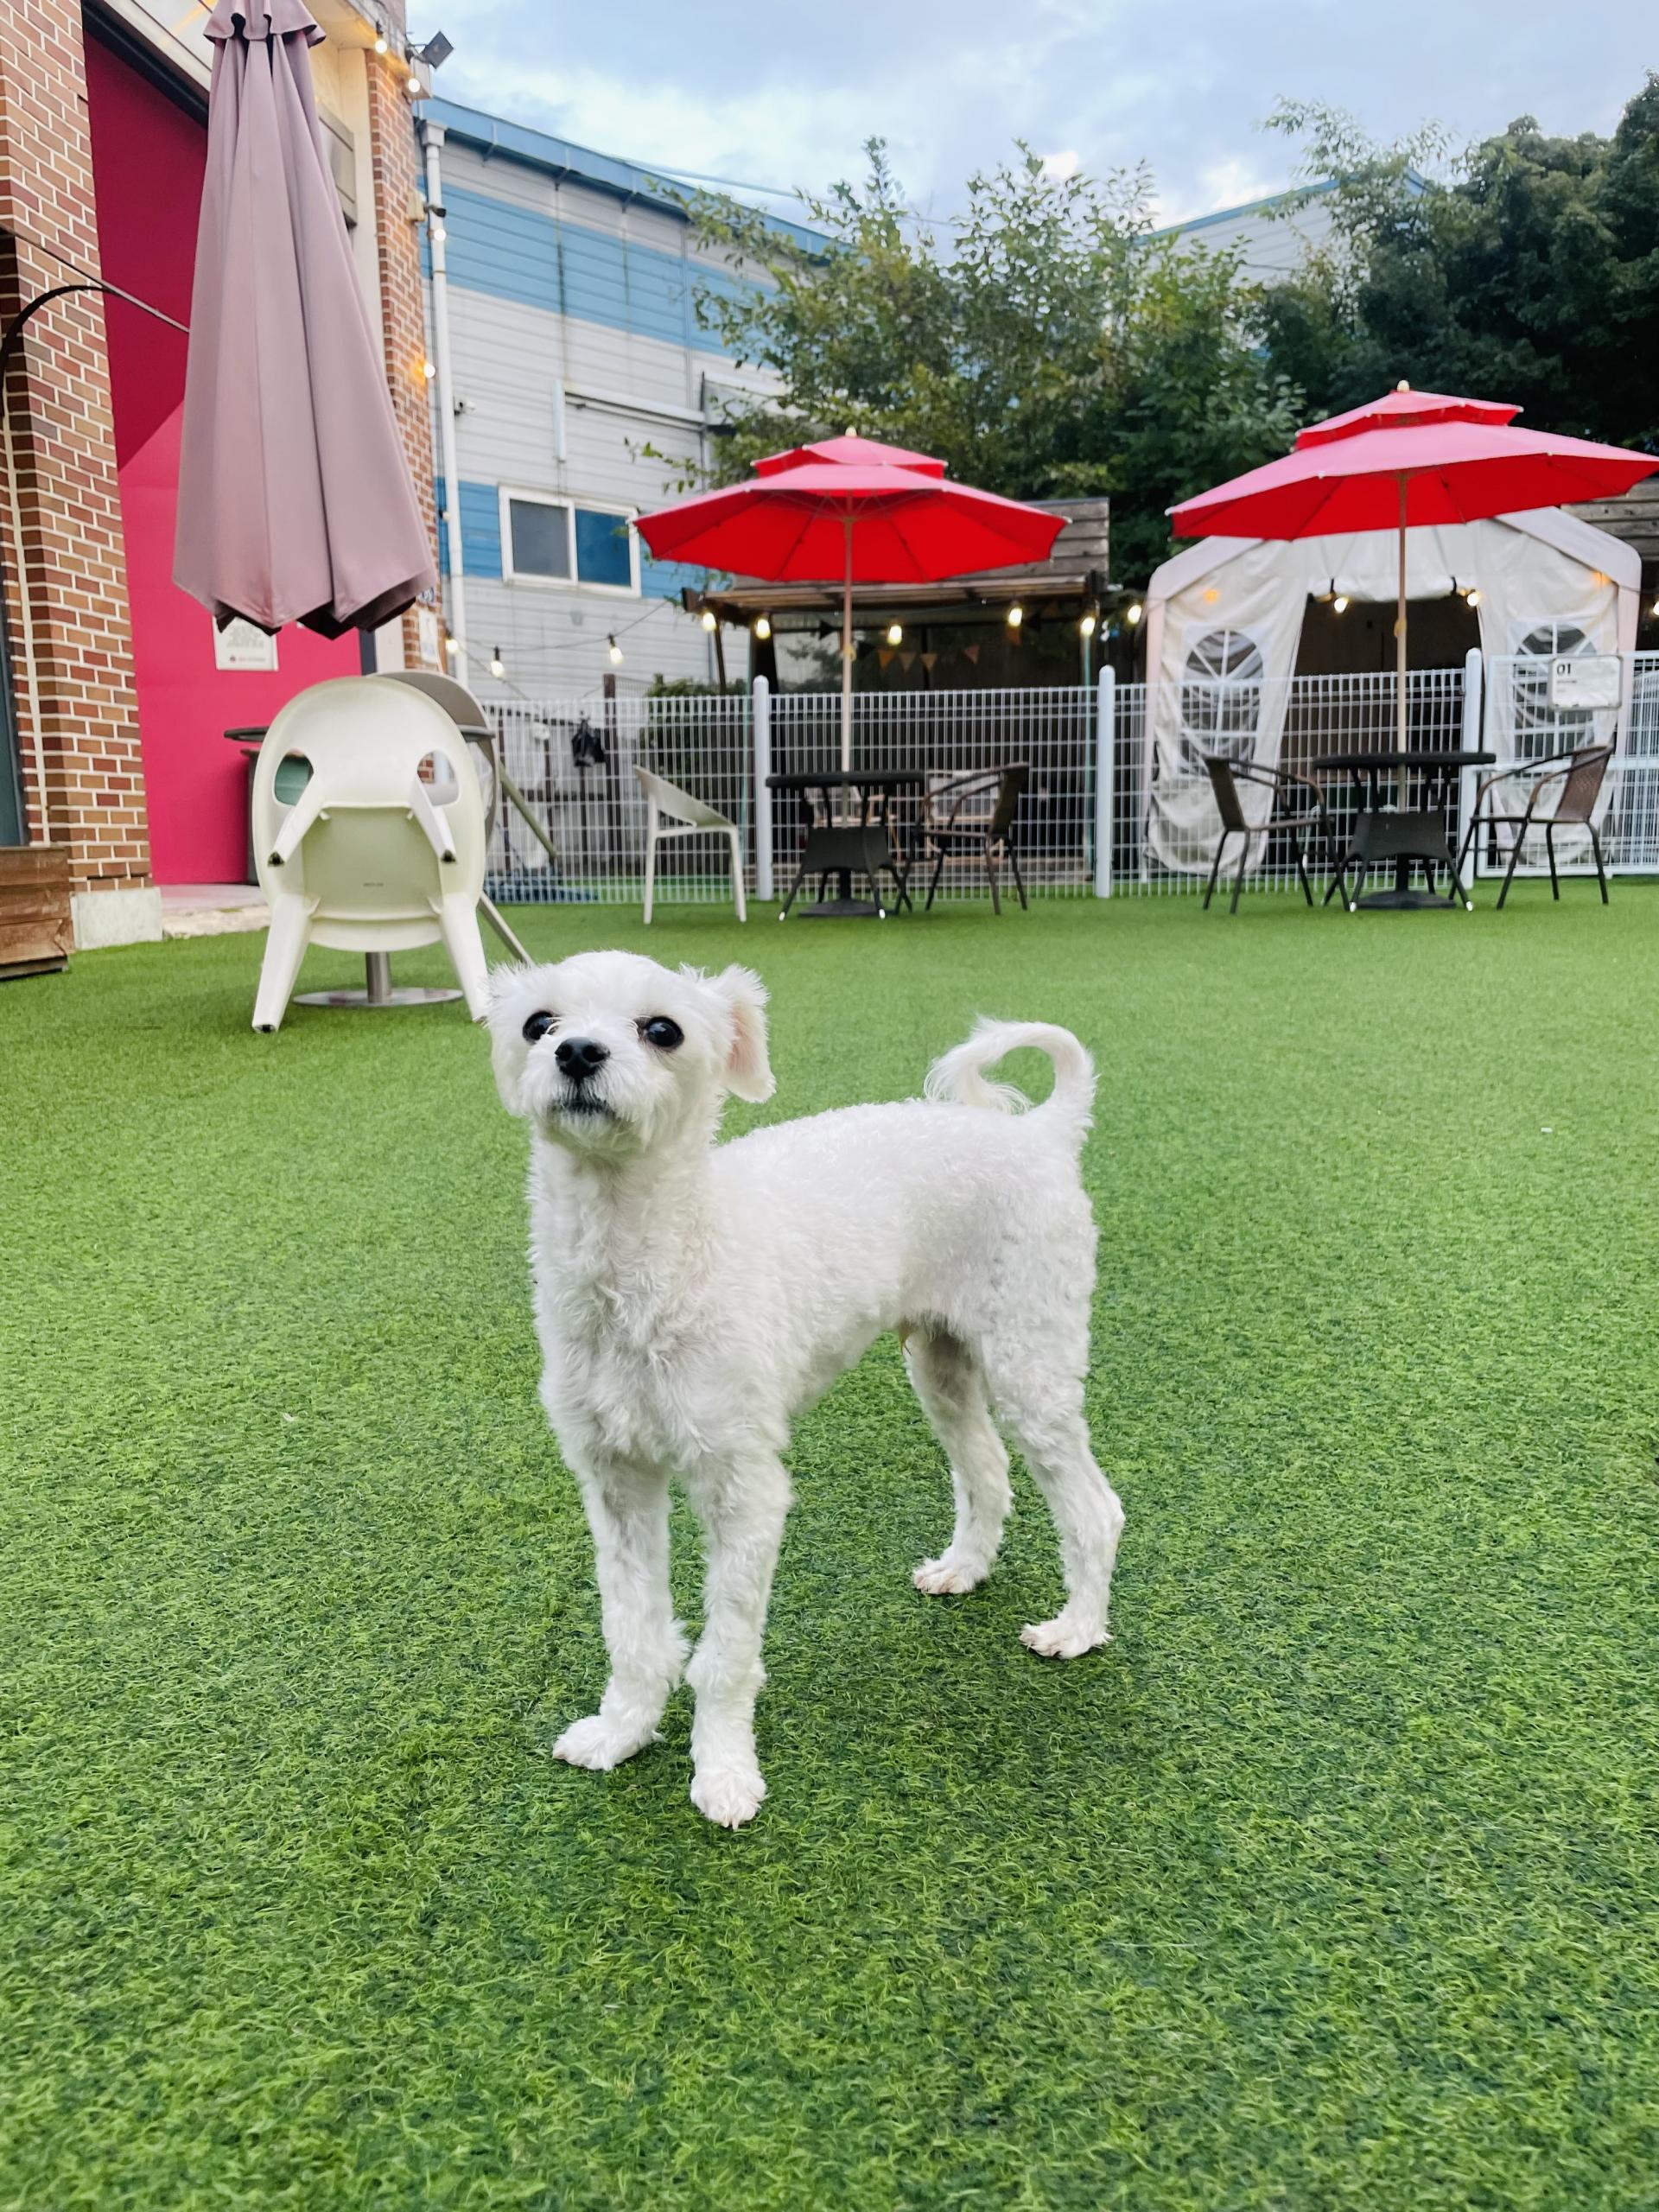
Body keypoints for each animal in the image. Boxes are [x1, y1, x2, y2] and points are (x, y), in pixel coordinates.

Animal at [487, 950, 1124, 1828]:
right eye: (538, 1023)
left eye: (663, 1029)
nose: (577, 1053)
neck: (653, 1268)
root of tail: (1042, 1134)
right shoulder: (615, 1478)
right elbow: (634, 1631)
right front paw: (622, 1732)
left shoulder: (743, 1488)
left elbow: (725, 1655)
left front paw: (723, 1773)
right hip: (941, 1363)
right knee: (988, 1472)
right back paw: (963, 1568)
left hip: (1032, 1359)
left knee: (1095, 1509)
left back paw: (1078, 1628)